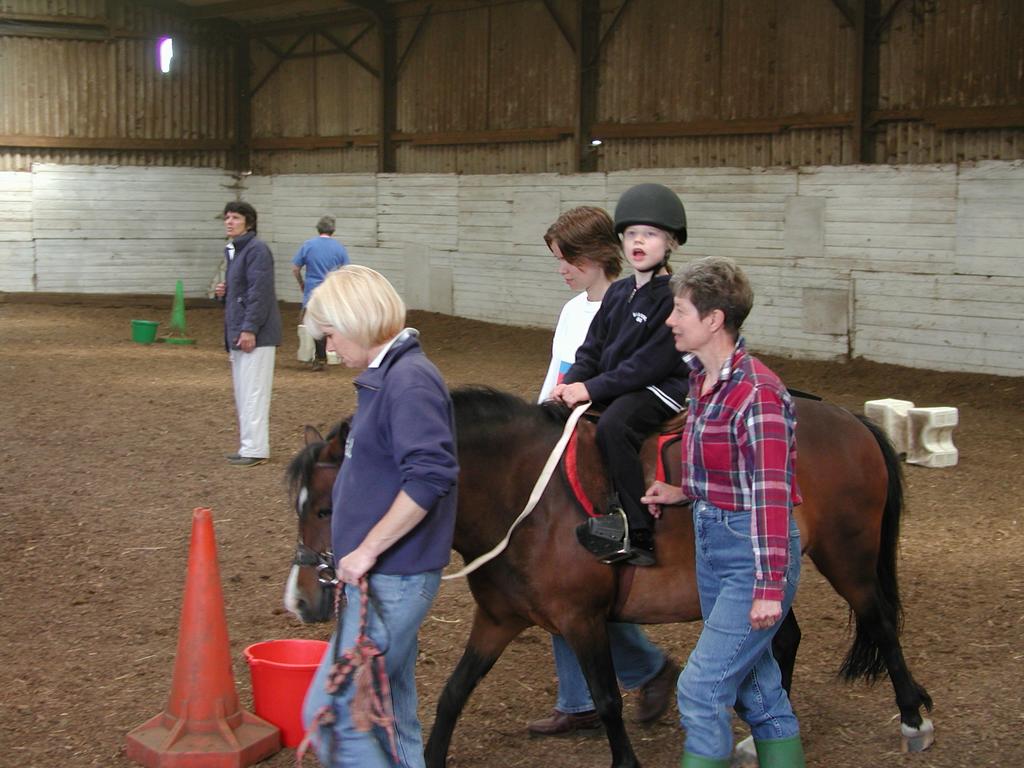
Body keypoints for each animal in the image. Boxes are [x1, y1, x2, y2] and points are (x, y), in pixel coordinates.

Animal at [284, 387, 933, 768]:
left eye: (330, 508)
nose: (304, 600)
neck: (525, 502)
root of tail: (849, 419)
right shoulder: (498, 620)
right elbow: (452, 694)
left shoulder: (583, 620)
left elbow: (607, 699)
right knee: (786, 637)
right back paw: (760, 732)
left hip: (847, 557)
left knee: (880, 623)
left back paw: (912, 718)